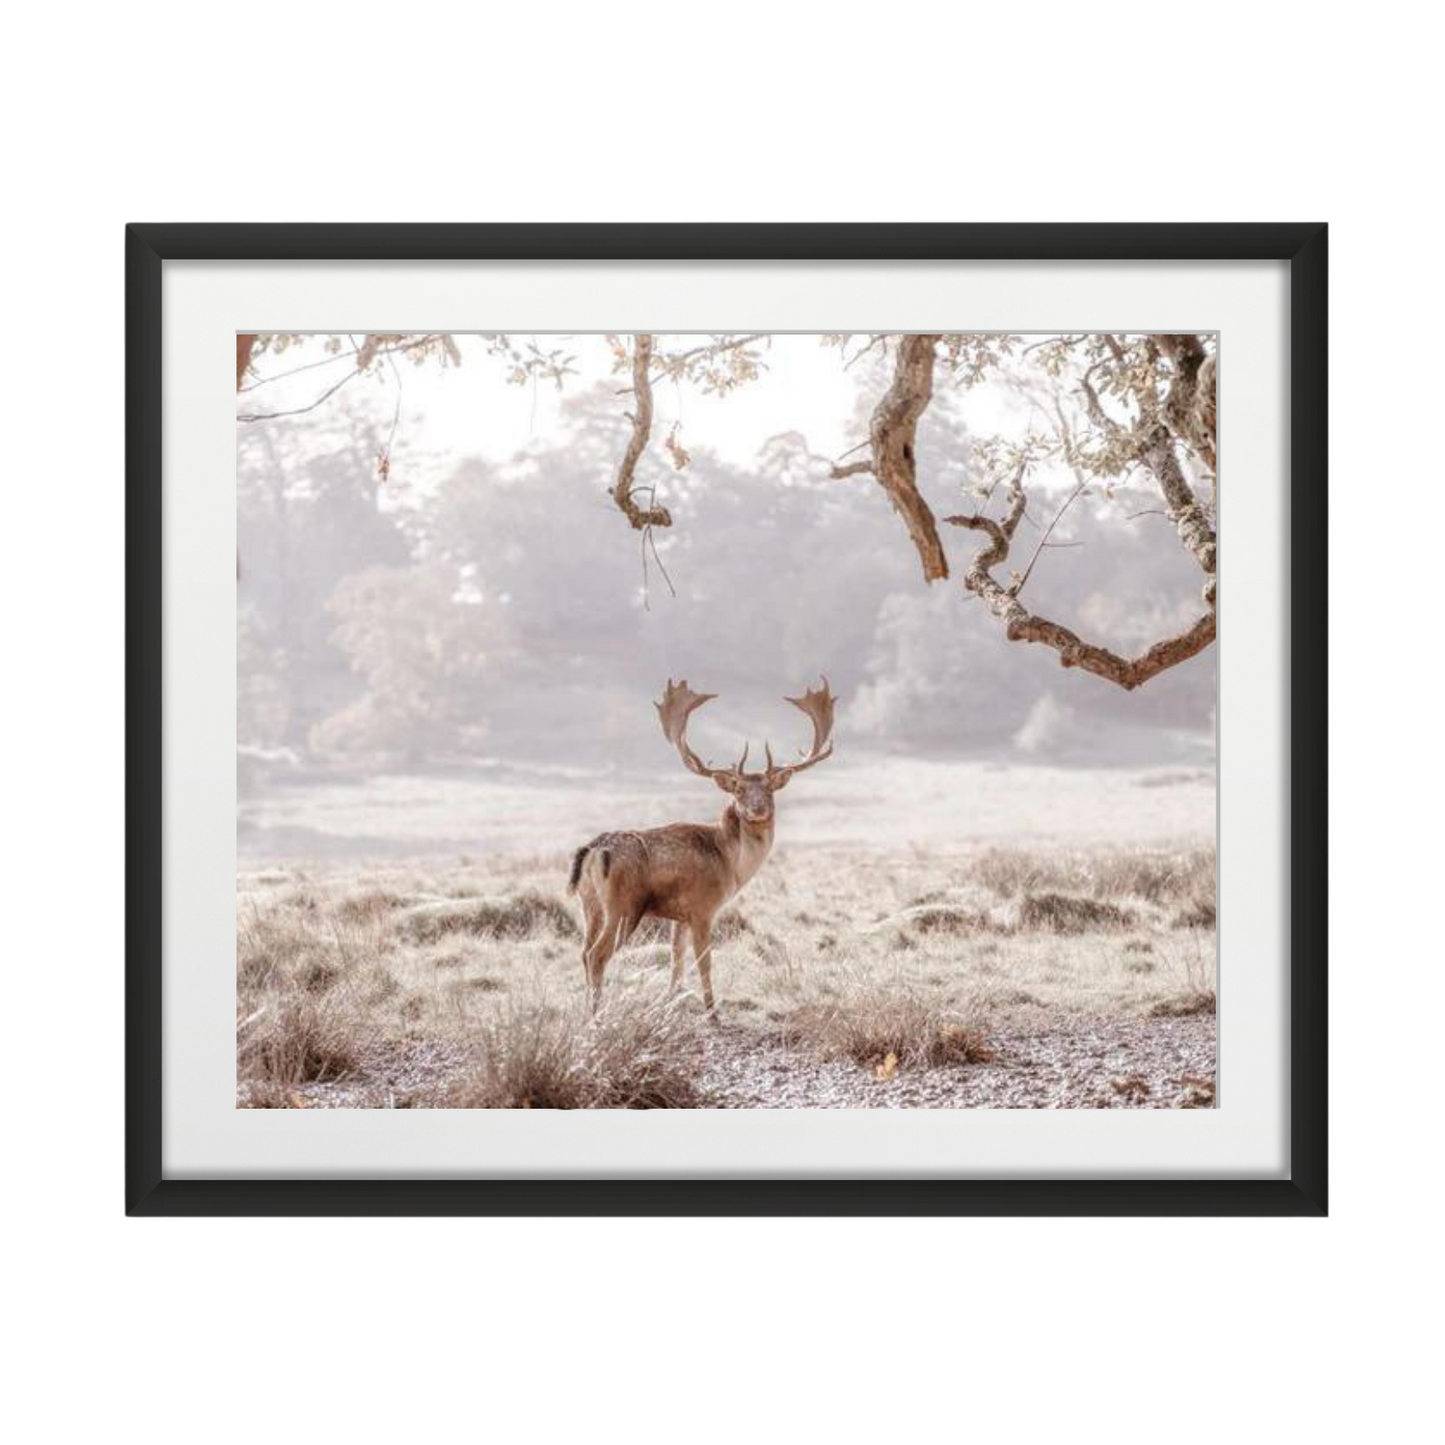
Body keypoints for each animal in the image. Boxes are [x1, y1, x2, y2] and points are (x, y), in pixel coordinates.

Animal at [567, 678, 837, 1015]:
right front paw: (711, 1009)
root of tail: (592, 852)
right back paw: (596, 1013)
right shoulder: (703, 907)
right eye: (739, 789)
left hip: (589, 904)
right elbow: (704, 961)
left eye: (770, 789)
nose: (758, 808)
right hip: (623, 906)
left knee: (583, 952)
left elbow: (676, 959)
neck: (731, 864)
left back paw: (585, 1008)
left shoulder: (679, 916)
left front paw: (670, 1001)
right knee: (597, 955)